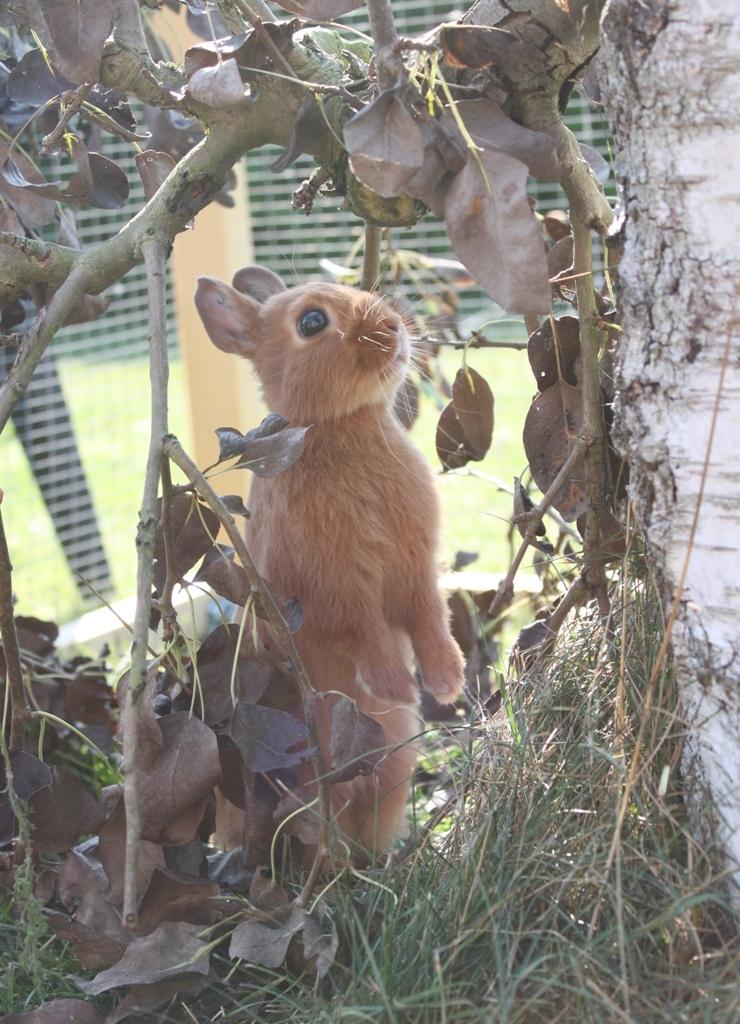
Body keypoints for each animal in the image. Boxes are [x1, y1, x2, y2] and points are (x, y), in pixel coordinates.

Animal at [196, 266, 462, 864]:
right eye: (313, 322)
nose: (393, 327)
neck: (341, 426)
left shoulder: (416, 568)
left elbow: (431, 617)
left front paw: (447, 682)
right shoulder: (333, 588)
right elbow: (364, 632)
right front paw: (397, 688)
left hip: (391, 777)